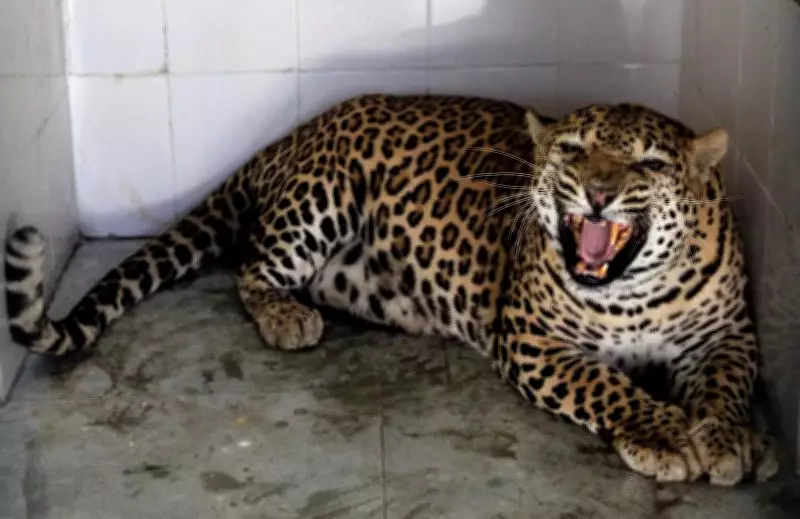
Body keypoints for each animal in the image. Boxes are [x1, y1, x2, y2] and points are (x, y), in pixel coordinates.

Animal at [5, 94, 780, 486]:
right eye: (572, 150)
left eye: (647, 163)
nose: (595, 193)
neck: (634, 289)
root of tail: (302, 129)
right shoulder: (532, 339)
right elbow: (606, 384)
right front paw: (663, 432)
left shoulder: (727, 334)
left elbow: (727, 384)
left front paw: (729, 439)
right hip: (321, 197)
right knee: (250, 267)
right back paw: (288, 317)